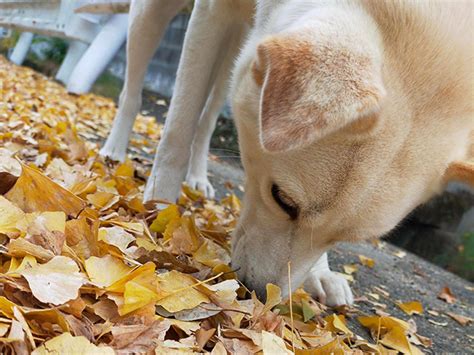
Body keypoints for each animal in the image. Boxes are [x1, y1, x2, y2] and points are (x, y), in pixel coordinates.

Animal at [102, 0, 472, 306]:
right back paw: (116, 149)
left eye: (346, 238)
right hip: (154, 15)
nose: (258, 292)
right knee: (134, 91)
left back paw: (198, 178)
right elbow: (179, 125)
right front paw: (161, 205)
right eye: (283, 200)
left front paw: (321, 274)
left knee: (208, 117)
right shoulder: (210, 10)